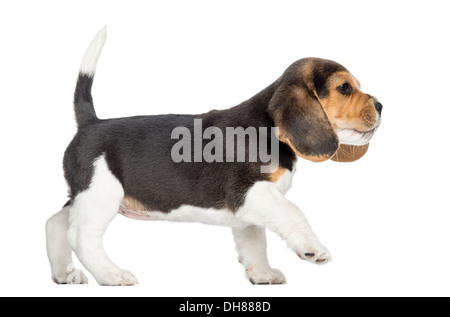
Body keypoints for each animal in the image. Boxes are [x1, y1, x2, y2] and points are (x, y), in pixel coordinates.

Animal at [45, 27, 382, 284]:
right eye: (344, 88)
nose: (380, 105)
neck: (270, 129)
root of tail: (91, 123)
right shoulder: (251, 193)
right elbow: (294, 213)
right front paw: (313, 249)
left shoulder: (250, 211)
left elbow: (254, 241)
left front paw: (262, 274)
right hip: (101, 195)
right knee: (81, 236)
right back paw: (112, 275)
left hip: (85, 196)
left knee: (54, 223)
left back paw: (64, 274)